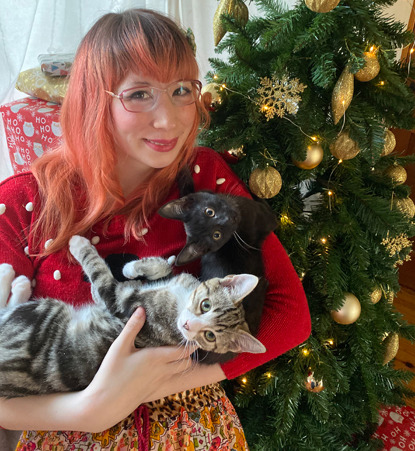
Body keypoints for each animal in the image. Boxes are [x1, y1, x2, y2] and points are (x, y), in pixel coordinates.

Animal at [0, 237, 266, 400]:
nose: (188, 325)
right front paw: (140, 267)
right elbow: (159, 271)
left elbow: (101, 276)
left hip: (42, 315)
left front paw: (79, 244)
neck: (179, 301)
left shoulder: (124, 303)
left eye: (209, 336)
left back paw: (14, 280)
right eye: (206, 305)